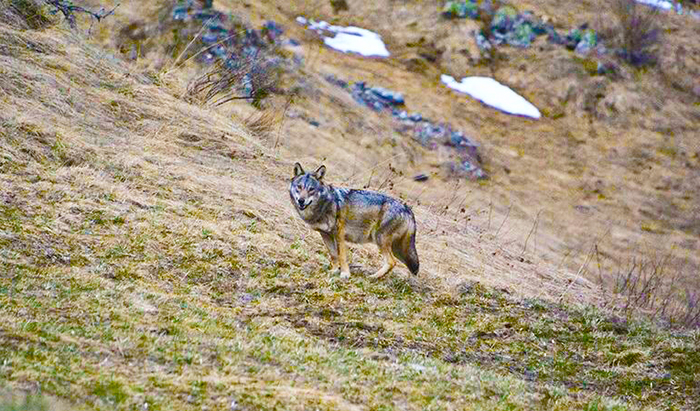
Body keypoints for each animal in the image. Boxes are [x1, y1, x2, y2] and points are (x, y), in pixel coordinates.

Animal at [289, 163, 419, 280]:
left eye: (311, 189)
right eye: (299, 187)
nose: (301, 200)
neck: (325, 205)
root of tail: (408, 209)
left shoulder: (339, 235)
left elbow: (342, 256)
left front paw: (345, 274)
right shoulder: (325, 234)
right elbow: (333, 255)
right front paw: (334, 271)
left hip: (380, 240)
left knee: (392, 262)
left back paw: (373, 277)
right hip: (397, 249)